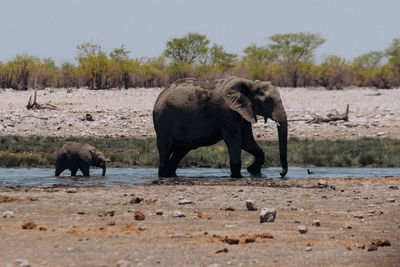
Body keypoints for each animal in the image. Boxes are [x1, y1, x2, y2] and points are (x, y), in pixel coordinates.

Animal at [152, 76, 288, 179]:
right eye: (268, 101)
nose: (281, 174)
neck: (251, 83)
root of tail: (160, 95)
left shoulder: (242, 111)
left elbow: (247, 141)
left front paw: (252, 171)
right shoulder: (227, 112)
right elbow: (234, 140)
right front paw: (238, 177)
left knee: (181, 151)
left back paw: (171, 176)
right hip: (163, 120)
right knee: (166, 149)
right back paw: (163, 176)